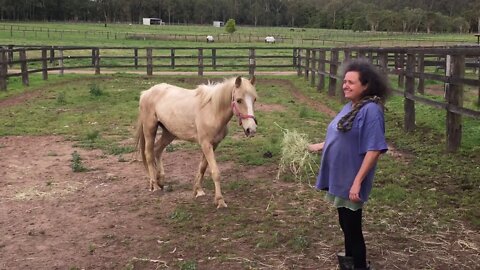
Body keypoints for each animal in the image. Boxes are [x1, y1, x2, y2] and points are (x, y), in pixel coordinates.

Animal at [134, 76, 258, 209]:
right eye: (239, 100)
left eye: (254, 99)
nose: (251, 130)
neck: (212, 111)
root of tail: (146, 93)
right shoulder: (206, 144)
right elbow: (215, 172)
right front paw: (220, 201)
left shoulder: (213, 145)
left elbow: (202, 168)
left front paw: (198, 191)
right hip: (150, 129)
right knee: (149, 154)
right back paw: (155, 186)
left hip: (169, 133)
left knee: (157, 149)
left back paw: (160, 181)